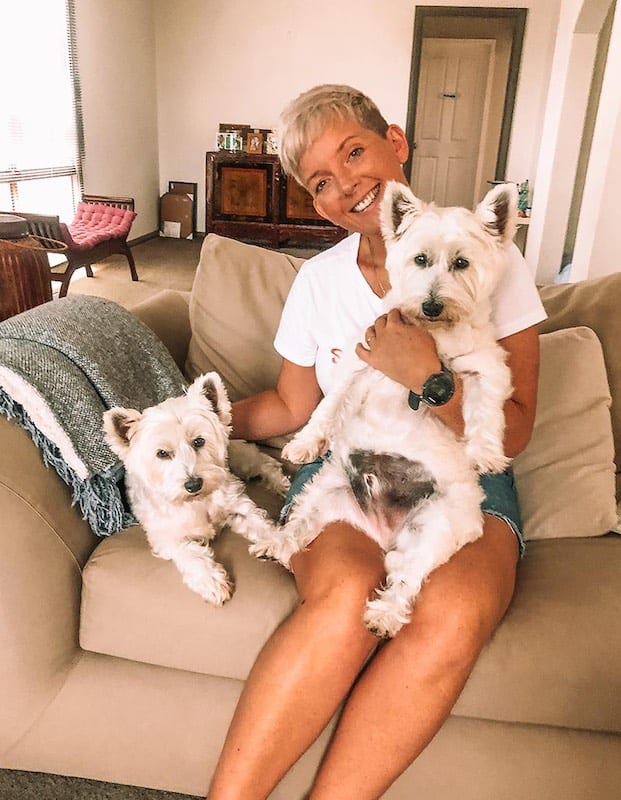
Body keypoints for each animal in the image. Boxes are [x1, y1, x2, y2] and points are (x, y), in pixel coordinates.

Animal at [103, 376, 290, 608]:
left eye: (199, 441)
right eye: (162, 453)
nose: (193, 484)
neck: (198, 502)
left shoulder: (238, 507)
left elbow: (262, 524)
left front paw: (280, 543)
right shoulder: (168, 537)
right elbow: (190, 554)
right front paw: (211, 581)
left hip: (239, 457)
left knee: (264, 463)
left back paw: (282, 484)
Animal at [253, 181, 520, 636]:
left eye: (462, 263)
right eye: (420, 259)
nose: (431, 305)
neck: (433, 335)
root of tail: (384, 532)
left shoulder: (488, 368)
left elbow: (486, 409)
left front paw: (485, 452)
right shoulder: (361, 360)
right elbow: (328, 405)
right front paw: (305, 443)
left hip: (435, 526)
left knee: (408, 577)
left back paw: (384, 615)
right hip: (325, 492)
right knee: (300, 526)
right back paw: (275, 541)